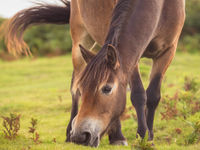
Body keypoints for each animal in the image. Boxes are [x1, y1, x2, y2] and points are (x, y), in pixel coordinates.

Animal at [0, 0, 185, 148]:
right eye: (84, 90)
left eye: (107, 89)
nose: (80, 135)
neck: (159, 7)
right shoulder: (131, 59)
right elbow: (138, 95)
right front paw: (142, 136)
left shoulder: (168, 52)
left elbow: (152, 96)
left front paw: (149, 137)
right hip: (79, 42)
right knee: (73, 88)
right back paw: (106, 135)